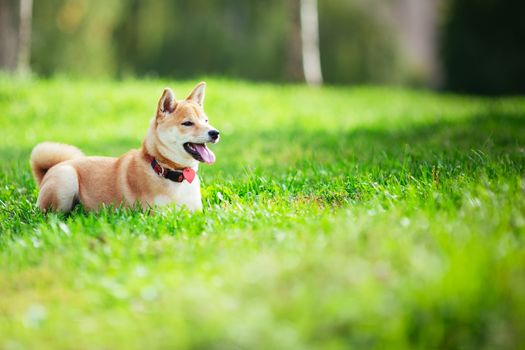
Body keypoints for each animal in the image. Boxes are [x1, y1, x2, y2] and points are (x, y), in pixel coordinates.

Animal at [29, 82, 218, 213]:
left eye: (206, 121)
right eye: (187, 123)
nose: (215, 133)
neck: (167, 169)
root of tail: (50, 170)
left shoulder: (196, 211)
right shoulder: (156, 214)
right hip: (66, 179)